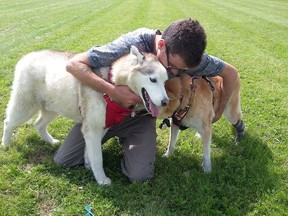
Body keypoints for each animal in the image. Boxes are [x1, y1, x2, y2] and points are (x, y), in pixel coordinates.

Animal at [1, 45, 169, 184]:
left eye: (165, 82)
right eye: (153, 79)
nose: (165, 102)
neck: (111, 82)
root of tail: (26, 56)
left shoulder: (101, 126)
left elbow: (91, 152)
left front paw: (88, 163)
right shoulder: (92, 128)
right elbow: (98, 158)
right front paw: (101, 179)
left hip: (52, 107)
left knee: (38, 124)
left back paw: (50, 141)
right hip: (25, 106)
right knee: (8, 122)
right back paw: (6, 144)